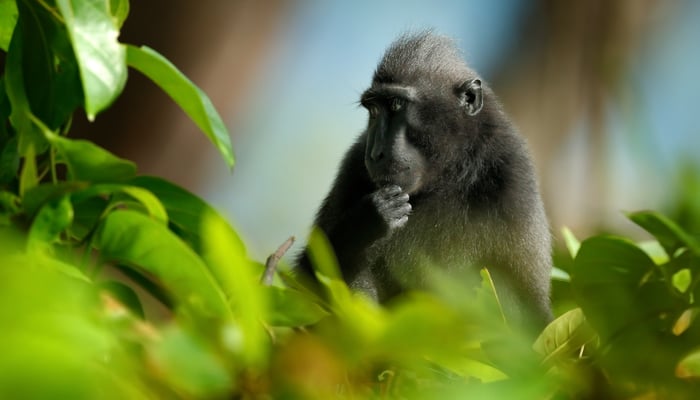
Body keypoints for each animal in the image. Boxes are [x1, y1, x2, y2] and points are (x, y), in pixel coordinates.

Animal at [295, 31, 552, 331]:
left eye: (396, 106)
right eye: (374, 111)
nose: (375, 153)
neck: (448, 177)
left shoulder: (513, 181)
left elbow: (533, 314)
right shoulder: (353, 163)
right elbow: (302, 285)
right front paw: (365, 222)